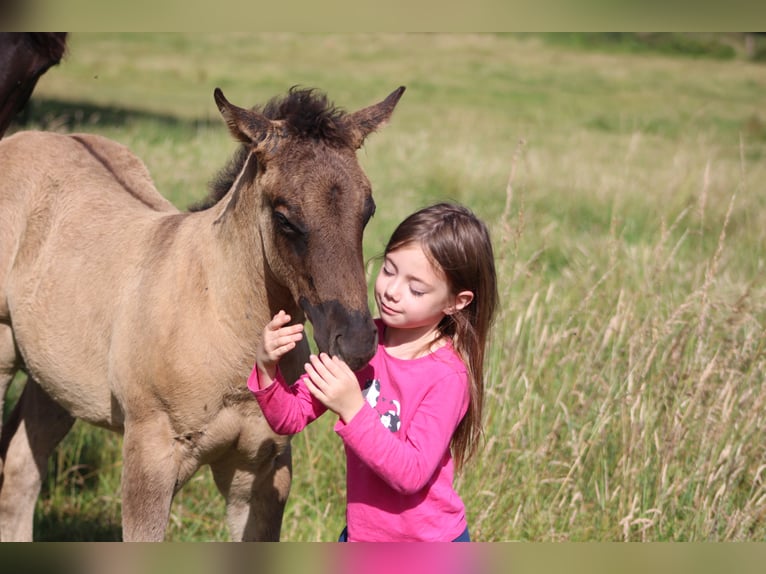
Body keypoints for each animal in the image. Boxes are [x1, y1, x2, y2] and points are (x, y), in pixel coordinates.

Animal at [0, 84, 405, 541]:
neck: (220, 319)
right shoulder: (149, 458)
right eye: (284, 217)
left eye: (367, 210)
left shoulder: (262, 469)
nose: (354, 341)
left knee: (22, 468)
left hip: (55, 381)